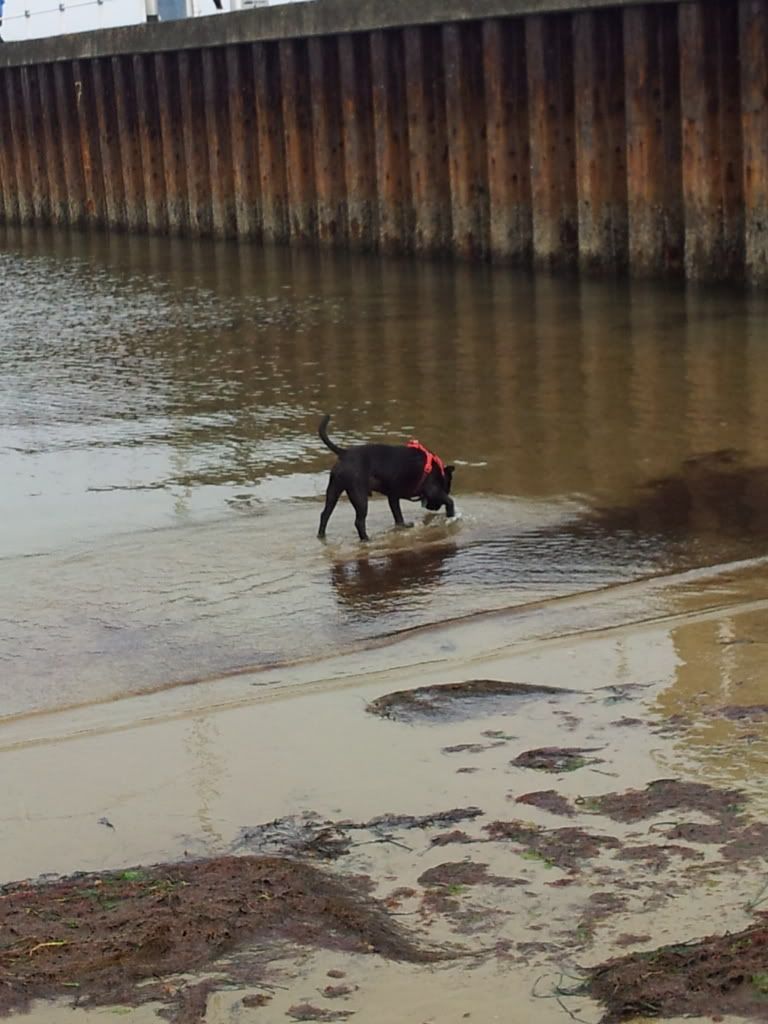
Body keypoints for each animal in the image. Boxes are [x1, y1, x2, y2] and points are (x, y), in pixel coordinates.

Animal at [315, 415, 454, 544]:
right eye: (447, 487)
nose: (433, 508)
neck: (438, 470)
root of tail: (345, 453)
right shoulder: (433, 490)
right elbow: (449, 501)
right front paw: (451, 516)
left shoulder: (393, 496)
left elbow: (397, 515)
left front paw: (402, 526)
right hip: (359, 497)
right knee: (359, 521)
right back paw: (366, 539)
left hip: (334, 491)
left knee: (325, 514)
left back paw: (321, 536)